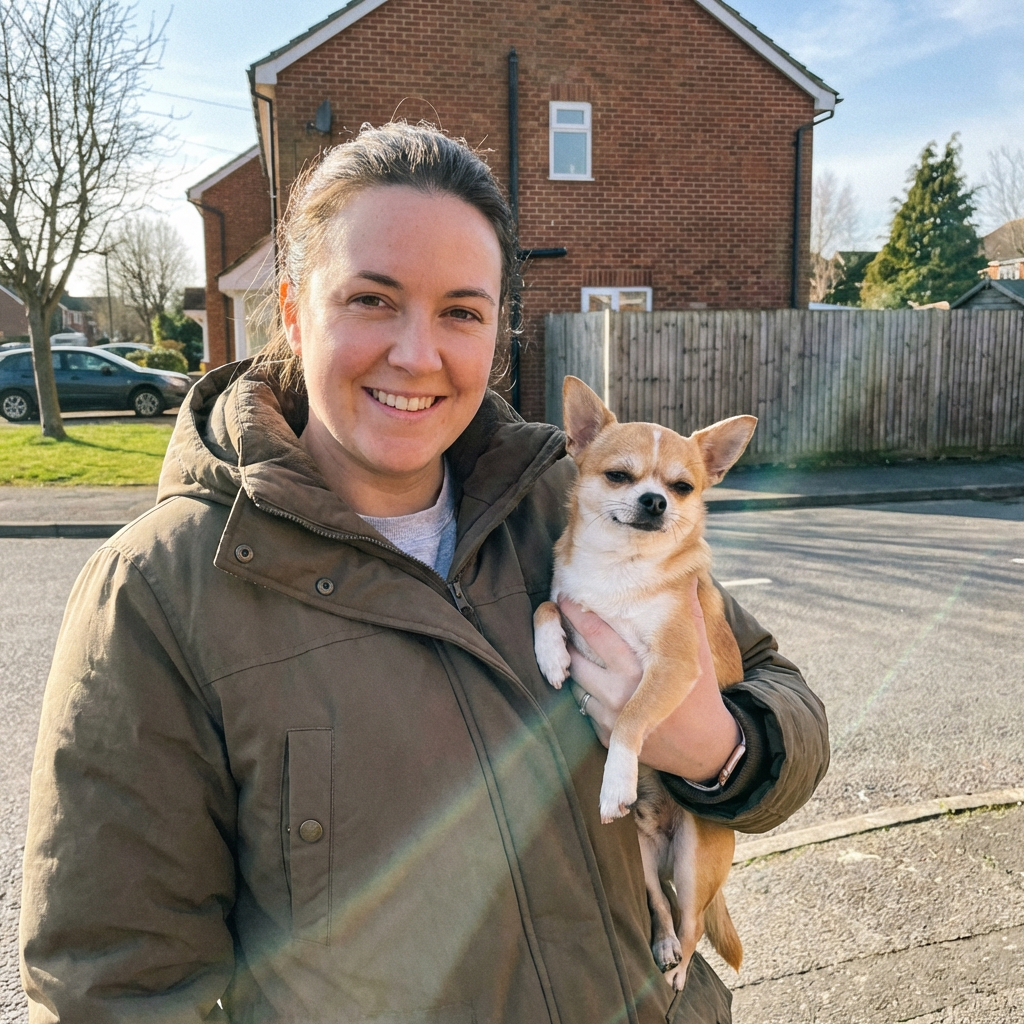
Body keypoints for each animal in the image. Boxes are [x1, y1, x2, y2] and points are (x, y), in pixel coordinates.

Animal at [533, 375, 756, 990]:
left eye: (682, 488)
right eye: (618, 476)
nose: (656, 501)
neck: (620, 571)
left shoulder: (674, 666)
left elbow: (632, 713)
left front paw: (616, 780)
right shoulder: (566, 598)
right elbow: (545, 605)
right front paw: (551, 655)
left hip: (694, 856)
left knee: (694, 920)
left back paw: (678, 971)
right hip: (642, 854)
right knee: (661, 905)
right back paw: (661, 945)